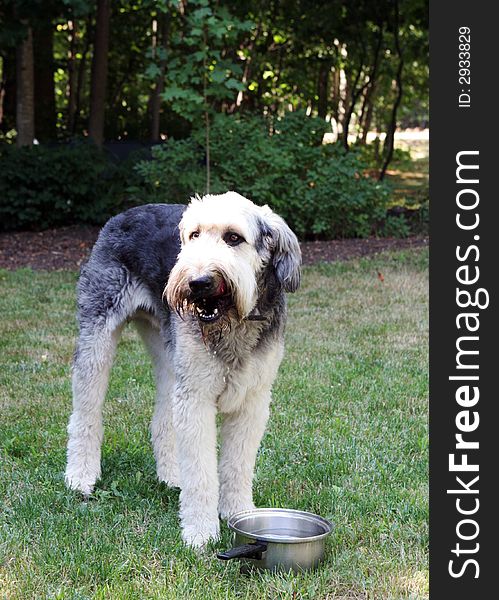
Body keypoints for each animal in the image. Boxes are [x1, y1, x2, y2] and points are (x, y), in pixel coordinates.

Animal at [65, 192, 302, 548]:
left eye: (234, 238)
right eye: (194, 235)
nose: (198, 282)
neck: (232, 324)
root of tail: (123, 215)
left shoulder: (252, 401)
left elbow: (237, 466)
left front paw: (239, 514)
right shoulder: (197, 399)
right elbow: (202, 473)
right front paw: (201, 533)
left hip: (170, 356)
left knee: (163, 419)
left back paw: (171, 475)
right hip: (98, 339)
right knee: (85, 414)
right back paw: (80, 475)